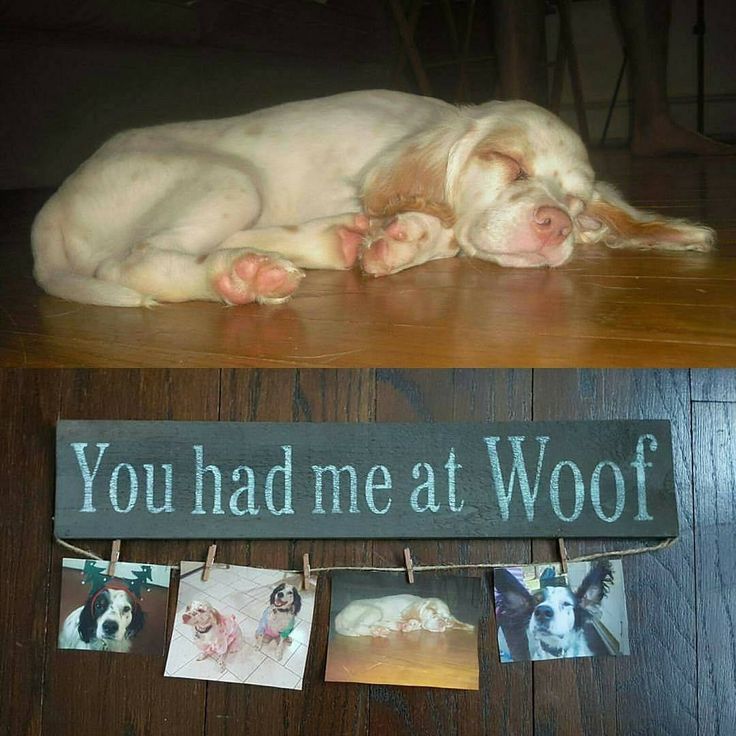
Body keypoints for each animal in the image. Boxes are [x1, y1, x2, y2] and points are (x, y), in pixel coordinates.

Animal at [334, 592, 472, 640]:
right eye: (433, 611)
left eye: (446, 619)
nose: (442, 623)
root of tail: (338, 617)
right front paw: (411, 624)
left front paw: (410, 625)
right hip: (374, 610)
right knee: (357, 627)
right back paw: (379, 630)